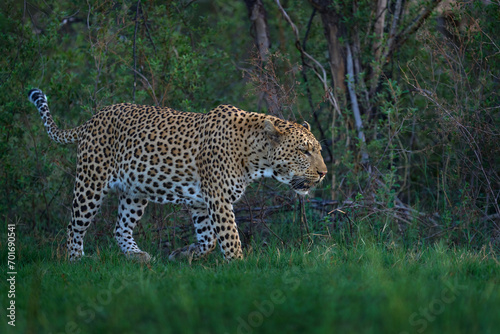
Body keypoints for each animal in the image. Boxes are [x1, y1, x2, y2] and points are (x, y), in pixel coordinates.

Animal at [27, 88, 326, 264]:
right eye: (304, 151)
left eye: (318, 150)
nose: (323, 173)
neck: (255, 156)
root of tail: (92, 119)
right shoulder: (218, 199)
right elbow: (229, 236)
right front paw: (240, 267)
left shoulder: (201, 202)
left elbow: (208, 239)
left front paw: (182, 253)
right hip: (91, 183)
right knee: (74, 225)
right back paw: (76, 260)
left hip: (135, 191)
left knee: (120, 227)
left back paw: (137, 256)